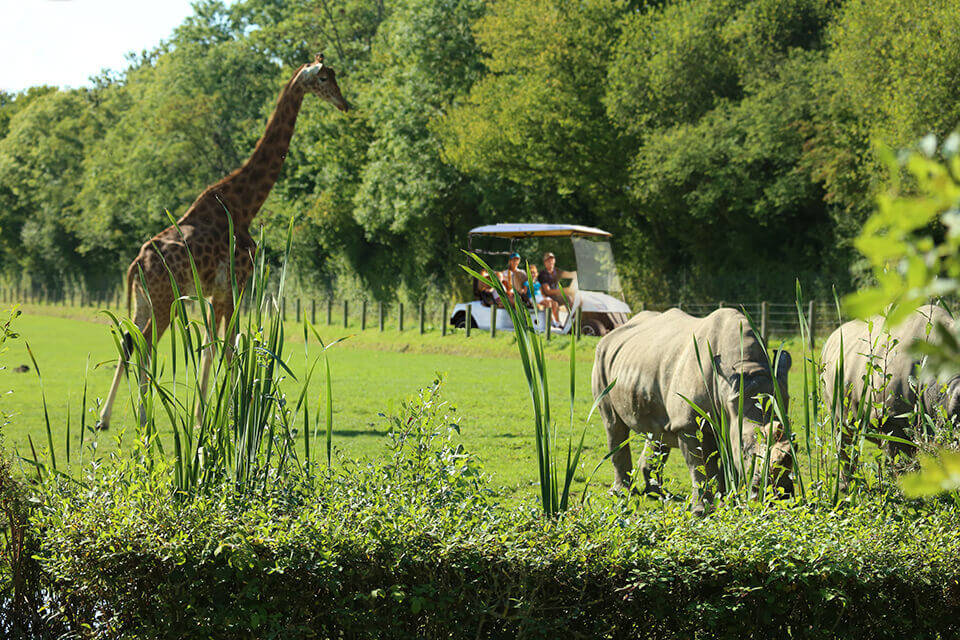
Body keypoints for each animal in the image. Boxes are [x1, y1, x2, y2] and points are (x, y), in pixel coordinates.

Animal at [97, 53, 350, 430]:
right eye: (323, 78)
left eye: (334, 76)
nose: (345, 103)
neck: (244, 206)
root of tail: (135, 264)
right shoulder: (236, 284)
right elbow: (228, 348)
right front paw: (233, 419)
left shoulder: (216, 293)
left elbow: (210, 346)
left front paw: (205, 418)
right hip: (165, 300)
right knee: (144, 344)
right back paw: (142, 418)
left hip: (144, 300)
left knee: (129, 342)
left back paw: (108, 419)